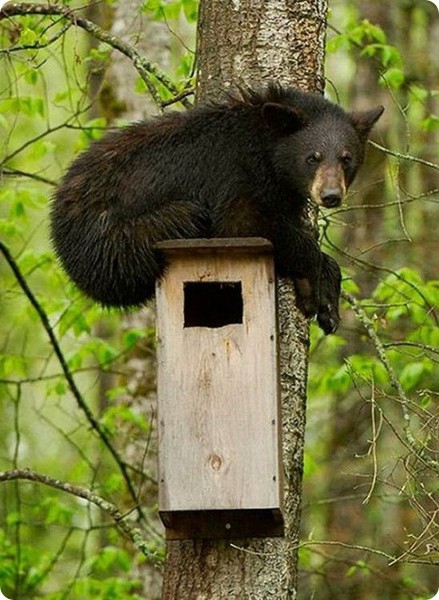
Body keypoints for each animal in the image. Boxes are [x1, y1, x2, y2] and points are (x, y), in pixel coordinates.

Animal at [51, 84, 384, 332]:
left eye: (346, 158)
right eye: (312, 157)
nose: (330, 195)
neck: (265, 150)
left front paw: (320, 301)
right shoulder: (236, 178)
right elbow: (245, 224)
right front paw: (320, 279)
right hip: (120, 243)